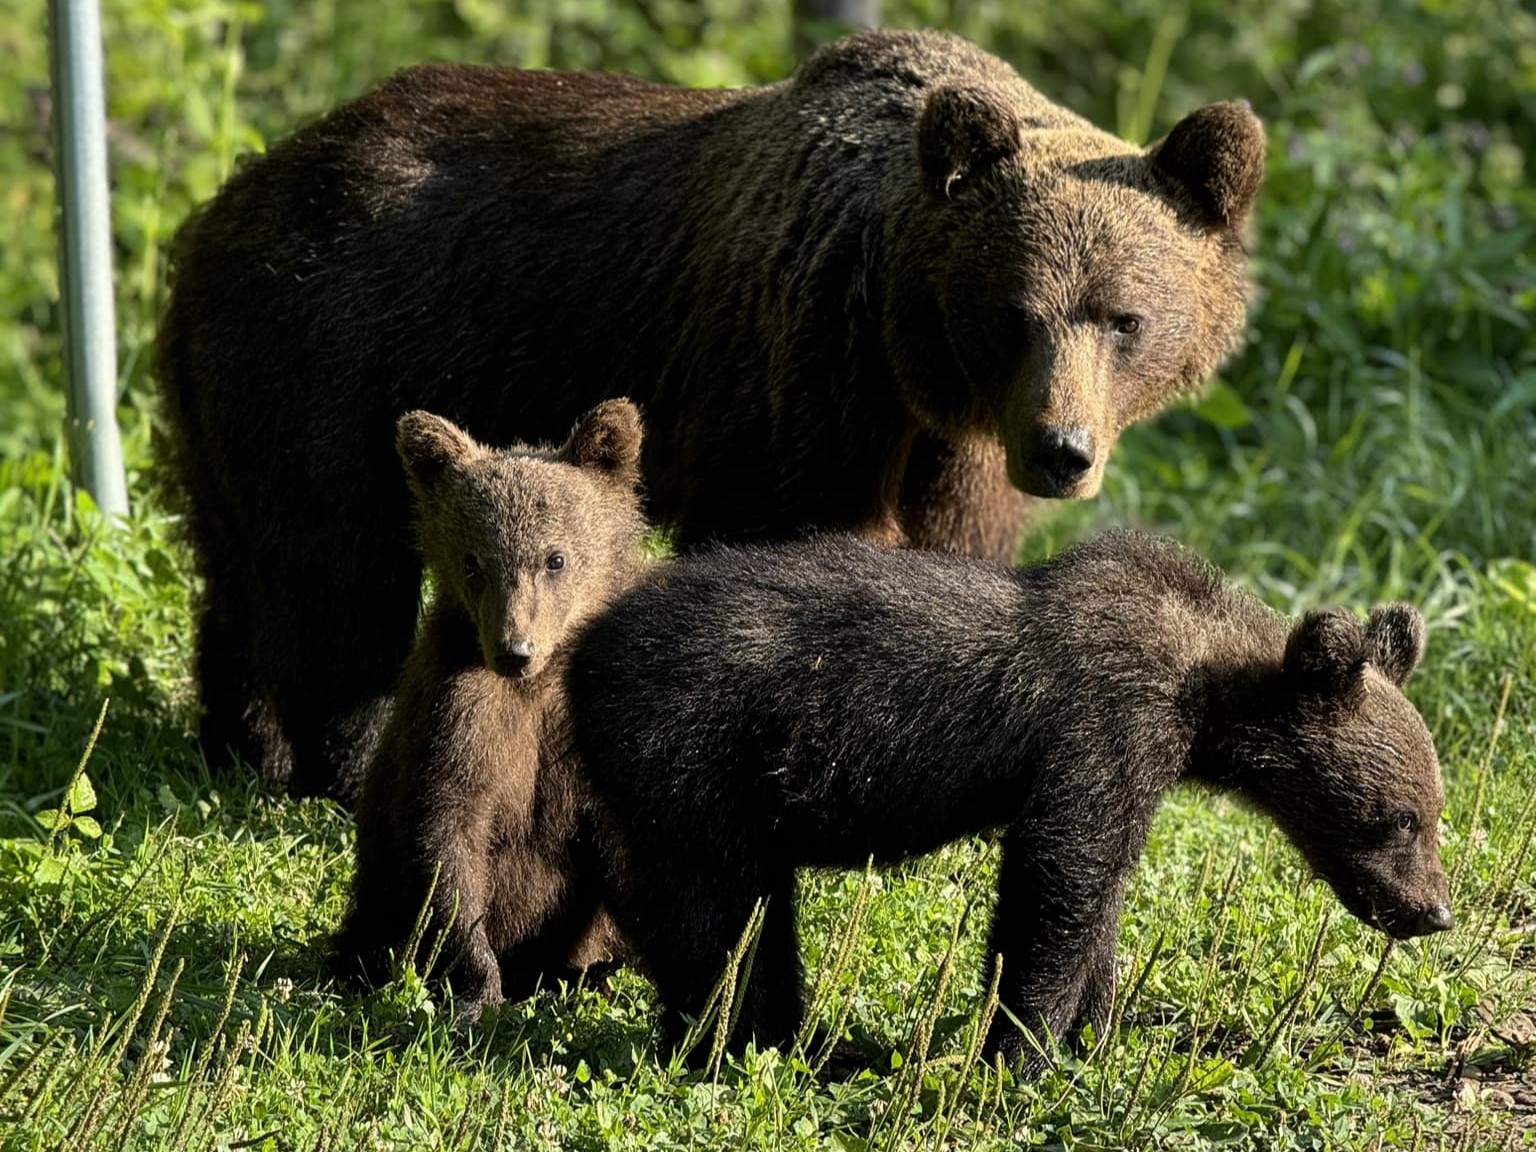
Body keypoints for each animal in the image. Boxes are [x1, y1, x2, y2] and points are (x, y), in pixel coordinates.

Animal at [155, 27, 1265, 804]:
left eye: (1124, 317)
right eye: (1010, 313)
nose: (1062, 452)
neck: (906, 357)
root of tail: (236, 190)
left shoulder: (954, 457)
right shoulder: (797, 379)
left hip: (227, 384)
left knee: (238, 561)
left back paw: (238, 742)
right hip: (339, 346)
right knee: (334, 565)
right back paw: (342, 763)